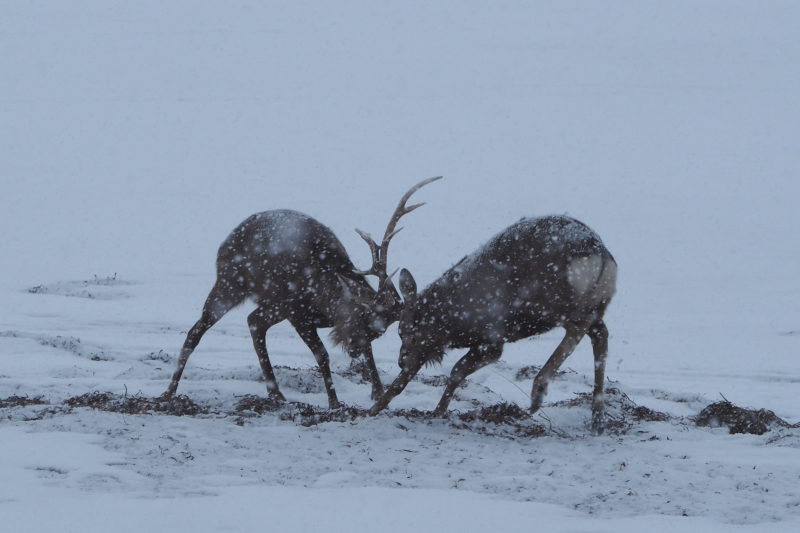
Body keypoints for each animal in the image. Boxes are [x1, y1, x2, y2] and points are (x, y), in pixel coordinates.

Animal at [159, 176, 440, 408]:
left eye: (379, 330)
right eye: (361, 316)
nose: (352, 350)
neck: (323, 300)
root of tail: (226, 240)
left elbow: (367, 354)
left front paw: (378, 391)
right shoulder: (297, 313)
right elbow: (322, 355)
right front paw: (334, 402)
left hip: (266, 301)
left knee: (252, 321)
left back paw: (274, 392)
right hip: (231, 286)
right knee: (199, 330)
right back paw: (170, 391)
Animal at [368, 214, 620, 434]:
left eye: (404, 331)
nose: (400, 360)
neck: (457, 321)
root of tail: (601, 254)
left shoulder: (491, 338)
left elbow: (454, 371)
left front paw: (380, 410)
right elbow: (453, 372)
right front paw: (434, 410)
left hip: (557, 303)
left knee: (579, 328)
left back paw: (538, 391)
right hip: (598, 302)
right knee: (600, 334)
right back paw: (597, 419)